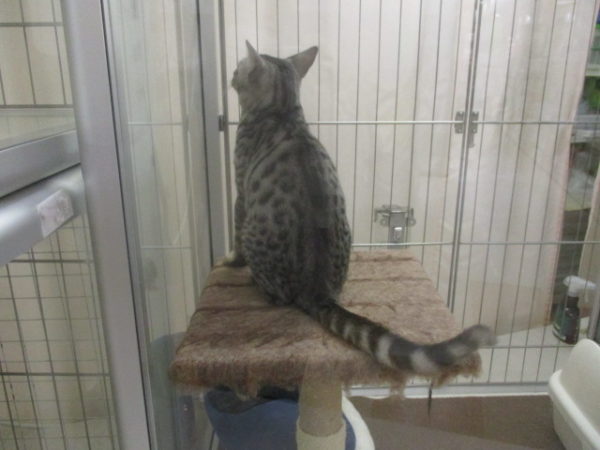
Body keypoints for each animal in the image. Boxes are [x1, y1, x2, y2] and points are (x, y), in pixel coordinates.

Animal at [226, 40, 495, 375]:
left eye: (238, 69)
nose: (229, 75)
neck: (283, 110)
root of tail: (317, 289)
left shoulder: (240, 192)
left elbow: (234, 231)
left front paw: (232, 261)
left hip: (256, 234)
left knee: (276, 294)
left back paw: (253, 280)